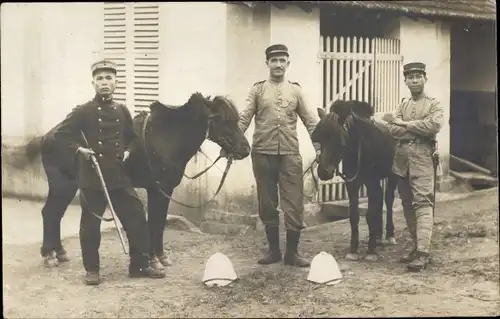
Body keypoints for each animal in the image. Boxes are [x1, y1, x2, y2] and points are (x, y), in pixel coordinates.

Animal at [20, 93, 250, 270]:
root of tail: (49, 135)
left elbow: (159, 224)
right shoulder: (156, 191)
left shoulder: (166, 191)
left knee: (54, 215)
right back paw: (49, 256)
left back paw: (59, 253)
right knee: (50, 213)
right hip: (62, 186)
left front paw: (162, 257)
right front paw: (155, 260)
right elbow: (153, 224)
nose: (245, 149)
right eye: (224, 120)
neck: (167, 137)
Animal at [312, 100, 398, 262]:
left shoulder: (371, 183)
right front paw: (353, 250)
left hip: (393, 176)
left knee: (388, 200)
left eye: (338, 139)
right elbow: (354, 216)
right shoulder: (352, 184)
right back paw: (378, 237)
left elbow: (370, 215)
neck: (359, 148)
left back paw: (389, 235)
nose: (323, 172)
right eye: (319, 139)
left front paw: (371, 251)